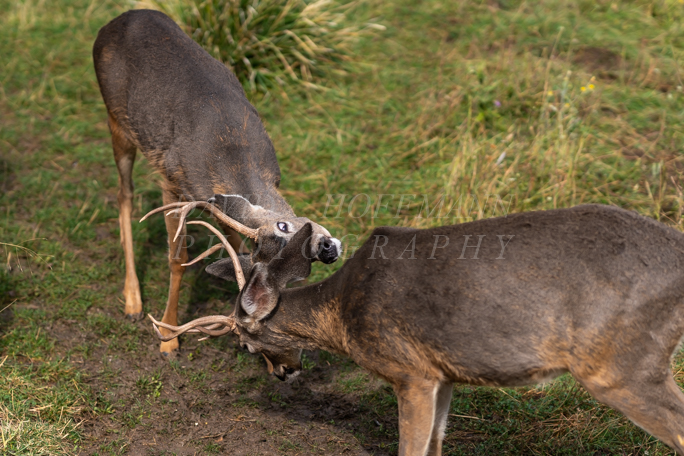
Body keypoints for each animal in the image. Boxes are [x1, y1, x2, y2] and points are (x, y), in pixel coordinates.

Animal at [92, 8, 342, 356]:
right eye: (282, 227)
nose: (326, 248)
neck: (234, 154)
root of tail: (117, 19)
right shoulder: (171, 181)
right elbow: (177, 260)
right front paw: (168, 337)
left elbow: (234, 241)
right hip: (117, 122)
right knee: (123, 194)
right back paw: (132, 302)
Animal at [151, 204, 684, 456]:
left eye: (246, 342)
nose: (282, 373)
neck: (344, 314)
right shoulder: (442, 374)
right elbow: (436, 446)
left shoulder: (409, 370)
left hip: (620, 365)